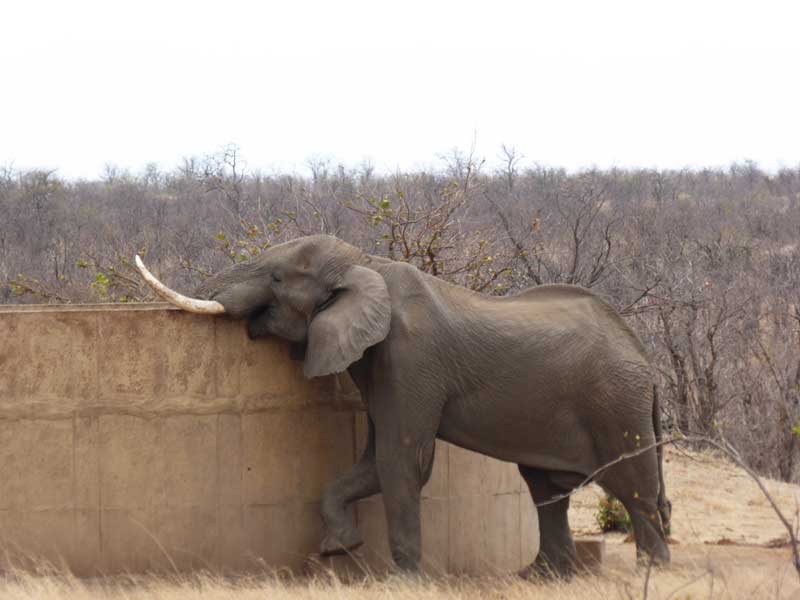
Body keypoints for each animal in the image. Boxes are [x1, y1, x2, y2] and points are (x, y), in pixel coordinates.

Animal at [135, 234, 671, 577]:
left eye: (277, 277)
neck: (365, 262)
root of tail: (643, 355)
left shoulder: (410, 360)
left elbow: (401, 460)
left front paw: (402, 580)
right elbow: (373, 462)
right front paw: (340, 548)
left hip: (615, 403)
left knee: (635, 488)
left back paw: (651, 572)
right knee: (545, 489)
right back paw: (536, 578)